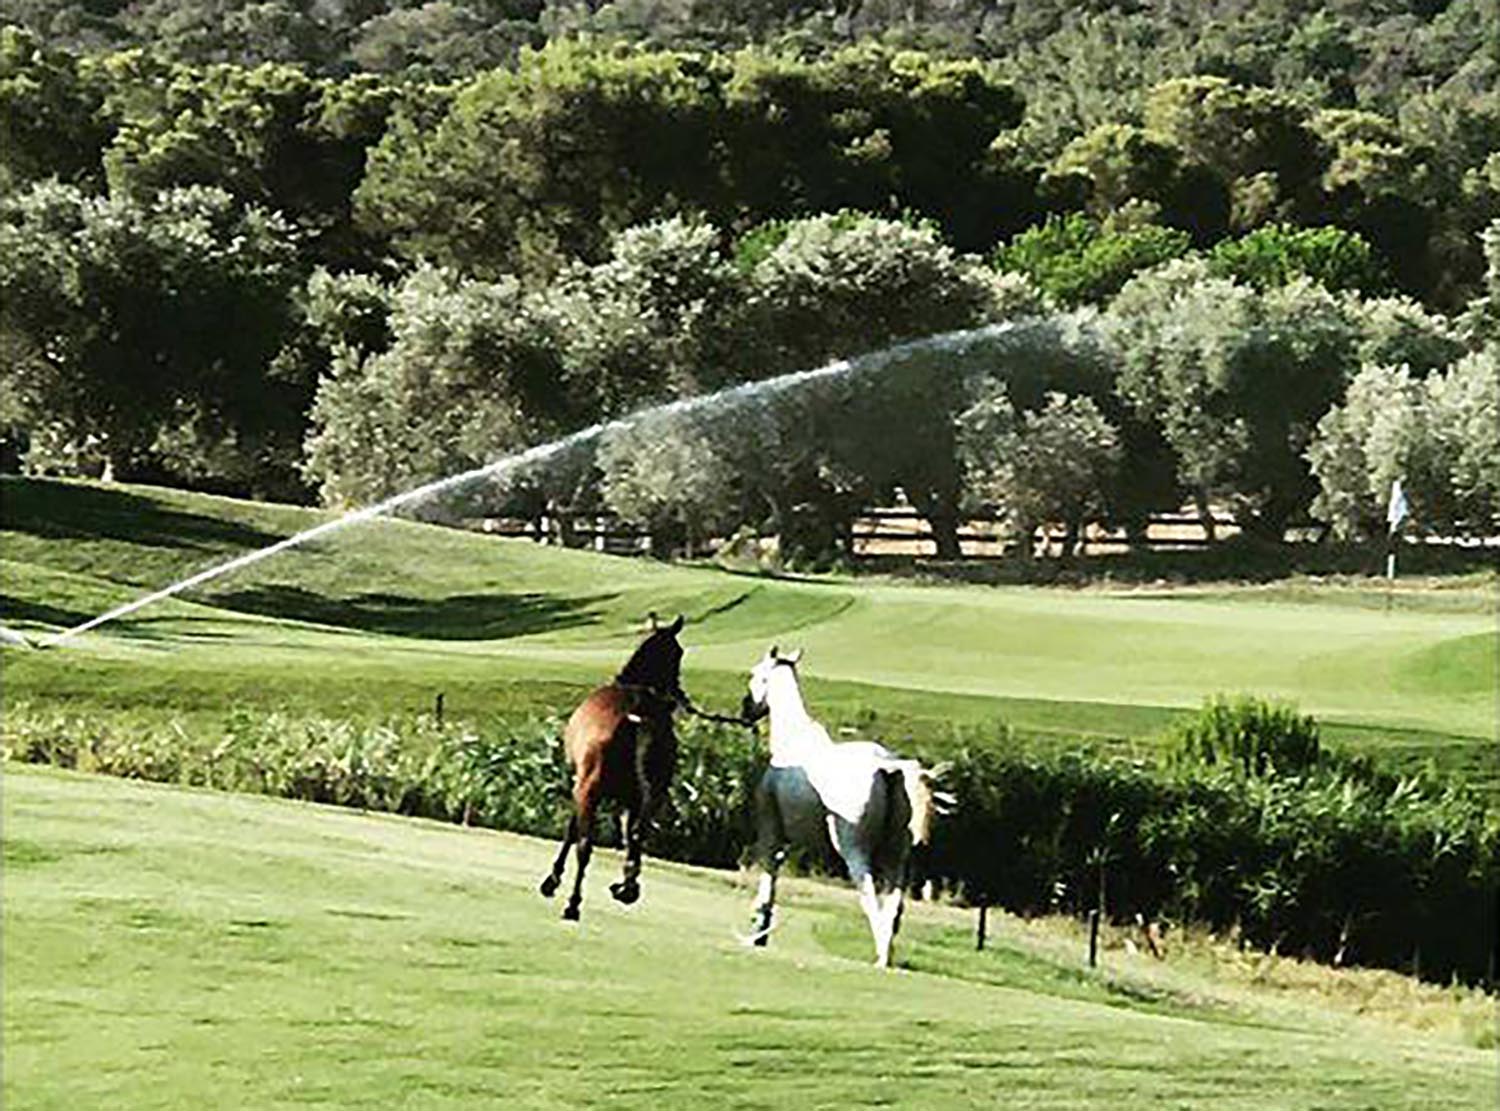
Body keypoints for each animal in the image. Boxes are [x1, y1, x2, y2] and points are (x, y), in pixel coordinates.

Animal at [540, 614, 687, 917]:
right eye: (679, 652)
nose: (677, 694)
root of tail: (638, 715)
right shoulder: (631, 799)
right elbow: (630, 835)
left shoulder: (579, 785)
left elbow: (572, 831)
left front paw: (553, 879)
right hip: (652, 793)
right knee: (638, 834)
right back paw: (627, 888)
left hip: (590, 787)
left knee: (585, 845)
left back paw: (573, 903)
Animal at [741, 644, 942, 965]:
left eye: (755, 673)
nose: (746, 709)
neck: (793, 741)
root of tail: (888, 767)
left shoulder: (771, 833)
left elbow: (767, 882)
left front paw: (757, 934)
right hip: (896, 857)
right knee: (894, 906)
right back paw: (886, 954)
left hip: (854, 851)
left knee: (870, 897)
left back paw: (880, 957)